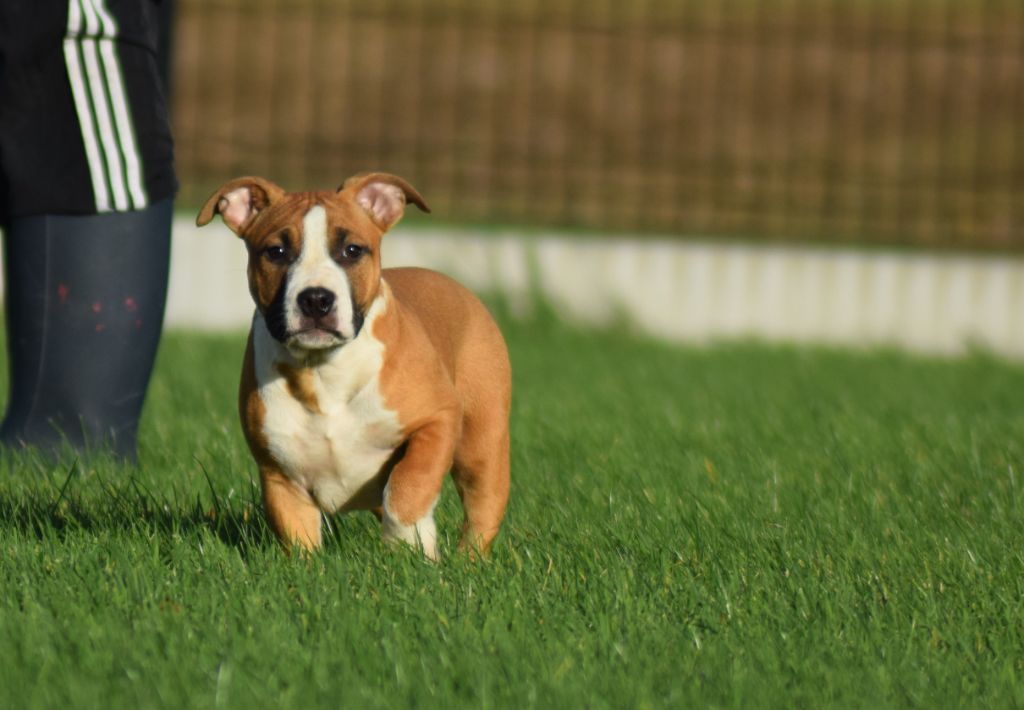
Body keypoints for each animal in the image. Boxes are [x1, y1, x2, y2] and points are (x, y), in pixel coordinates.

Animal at [196, 173, 511, 558]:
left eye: (352, 251)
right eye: (276, 252)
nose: (316, 299)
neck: (322, 369)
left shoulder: (438, 419)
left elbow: (409, 484)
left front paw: (407, 546)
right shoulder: (280, 473)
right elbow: (298, 536)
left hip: (481, 442)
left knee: (482, 504)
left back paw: (467, 559)